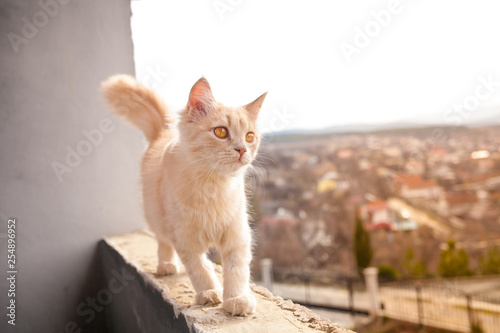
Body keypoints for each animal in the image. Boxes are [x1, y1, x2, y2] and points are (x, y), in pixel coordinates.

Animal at [100, 74, 266, 316]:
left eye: (250, 136)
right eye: (221, 132)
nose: (242, 150)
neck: (212, 185)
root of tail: (164, 131)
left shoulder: (236, 233)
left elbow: (236, 270)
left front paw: (237, 299)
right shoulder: (185, 235)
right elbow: (198, 268)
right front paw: (208, 293)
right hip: (156, 217)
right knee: (163, 243)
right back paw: (167, 266)